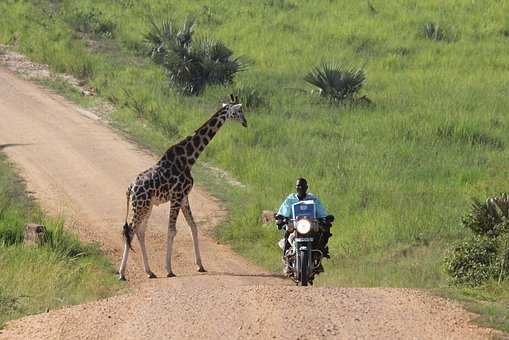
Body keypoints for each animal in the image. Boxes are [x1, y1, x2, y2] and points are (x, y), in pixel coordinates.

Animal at [119, 94, 246, 280]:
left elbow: (193, 226)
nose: (245, 122)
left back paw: (150, 271)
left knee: (140, 231)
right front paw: (169, 269)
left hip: (146, 206)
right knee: (130, 230)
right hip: (141, 206)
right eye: (238, 111)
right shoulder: (177, 196)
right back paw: (121, 273)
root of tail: (131, 187)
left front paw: (200, 265)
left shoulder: (185, 197)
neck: (189, 158)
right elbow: (172, 230)